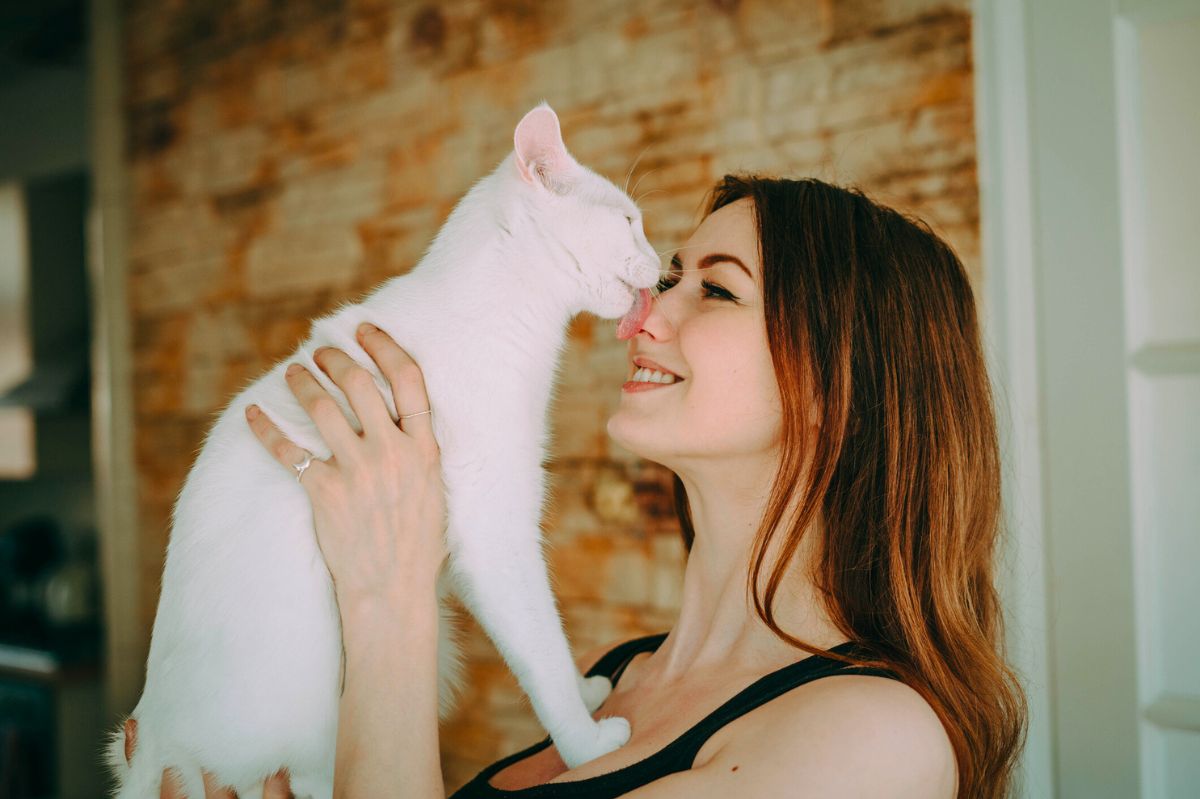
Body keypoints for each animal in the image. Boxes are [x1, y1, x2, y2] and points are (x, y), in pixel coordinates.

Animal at [104, 101, 662, 796]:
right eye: (630, 221)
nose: (665, 260)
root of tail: (150, 746)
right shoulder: (495, 530)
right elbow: (541, 648)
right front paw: (587, 745)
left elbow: (543, 644)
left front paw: (589, 694)